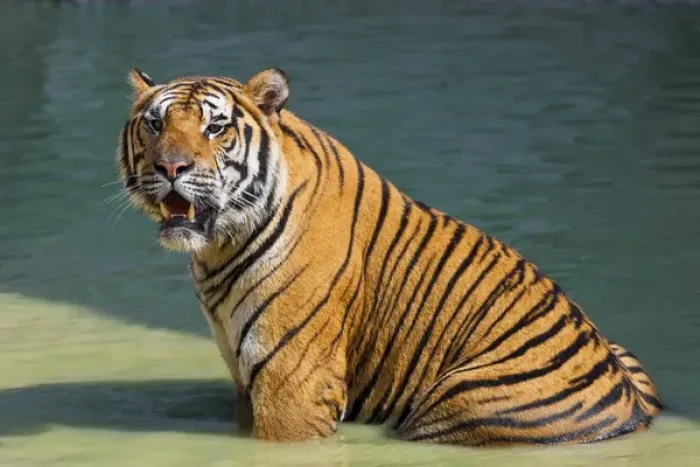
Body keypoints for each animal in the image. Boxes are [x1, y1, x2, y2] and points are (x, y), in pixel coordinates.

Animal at [116, 67, 662, 447]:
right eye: (155, 124)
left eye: (215, 128)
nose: (170, 166)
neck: (216, 248)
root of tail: (630, 410)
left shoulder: (294, 384)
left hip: (460, 404)